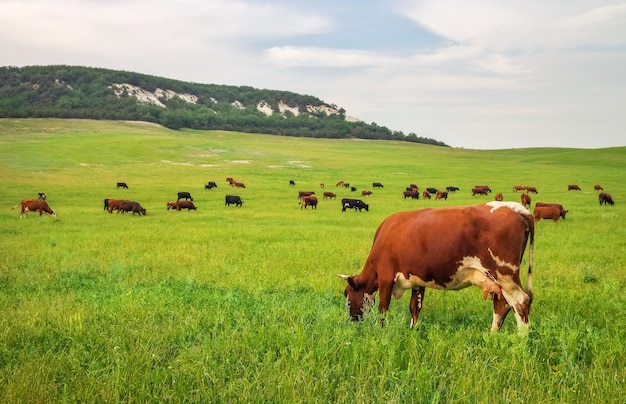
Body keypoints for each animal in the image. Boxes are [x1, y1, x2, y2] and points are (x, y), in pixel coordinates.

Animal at [336, 201, 532, 332]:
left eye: (347, 294)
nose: (350, 322)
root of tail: (514, 207)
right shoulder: (417, 280)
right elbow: (415, 307)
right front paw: (412, 331)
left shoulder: (385, 277)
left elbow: (383, 308)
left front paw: (379, 331)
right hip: (498, 279)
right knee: (502, 304)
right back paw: (492, 335)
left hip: (504, 274)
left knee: (521, 301)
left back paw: (521, 340)